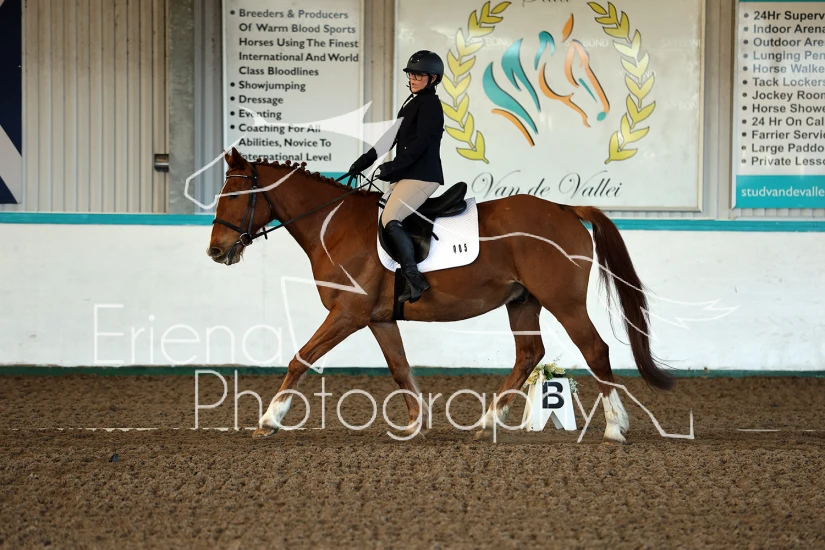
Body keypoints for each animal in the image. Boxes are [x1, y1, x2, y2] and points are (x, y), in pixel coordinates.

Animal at [207, 147, 674, 442]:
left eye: (236, 195)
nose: (215, 251)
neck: (333, 224)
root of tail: (564, 209)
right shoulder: (378, 319)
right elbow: (399, 368)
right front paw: (416, 425)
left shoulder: (348, 313)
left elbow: (300, 358)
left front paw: (269, 420)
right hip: (523, 302)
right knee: (529, 355)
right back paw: (488, 422)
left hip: (564, 301)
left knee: (594, 350)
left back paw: (614, 428)